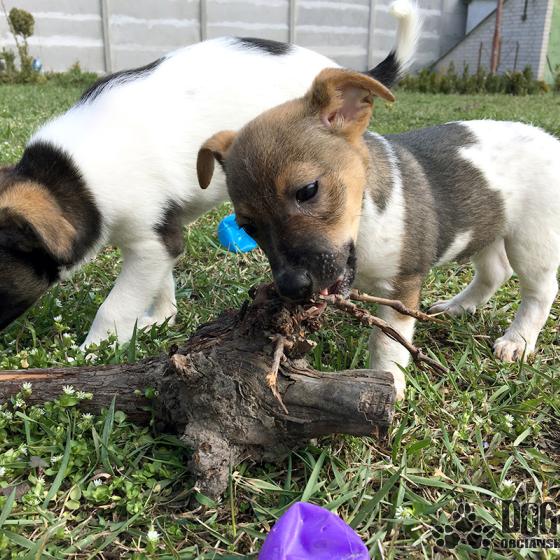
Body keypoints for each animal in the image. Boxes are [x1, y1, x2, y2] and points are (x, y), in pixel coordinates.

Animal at [0, 2, 420, 348]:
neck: (71, 176)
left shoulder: (151, 242)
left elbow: (113, 307)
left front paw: (92, 352)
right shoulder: (161, 240)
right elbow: (160, 287)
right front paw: (157, 320)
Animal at [196, 68, 560, 400]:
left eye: (308, 190)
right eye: (248, 227)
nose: (293, 288)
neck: (365, 220)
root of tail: (551, 141)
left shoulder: (402, 287)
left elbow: (387, 342)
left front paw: (387, 382)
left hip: (531, 241)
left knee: (540, 292)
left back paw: (517, 340)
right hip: (489, 226)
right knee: (495, 272)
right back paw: (458, 306)